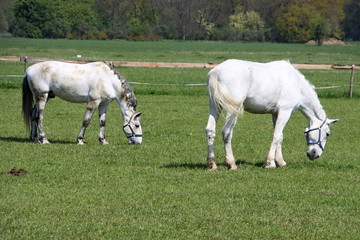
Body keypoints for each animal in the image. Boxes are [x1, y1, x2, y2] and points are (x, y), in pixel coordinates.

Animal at [205, 59, 338, 170]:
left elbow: (280, 137)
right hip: (233, 110)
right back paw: (231, 164)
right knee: (227, 132)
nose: (313, 154)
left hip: (214, 107)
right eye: (327, 134)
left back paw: (212, 164)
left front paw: (281, 161)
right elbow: (276, 136)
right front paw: (270, 163)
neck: (296, 84)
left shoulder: (276, 114)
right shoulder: (285, 112)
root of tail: (217, 71)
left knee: (210, 131)